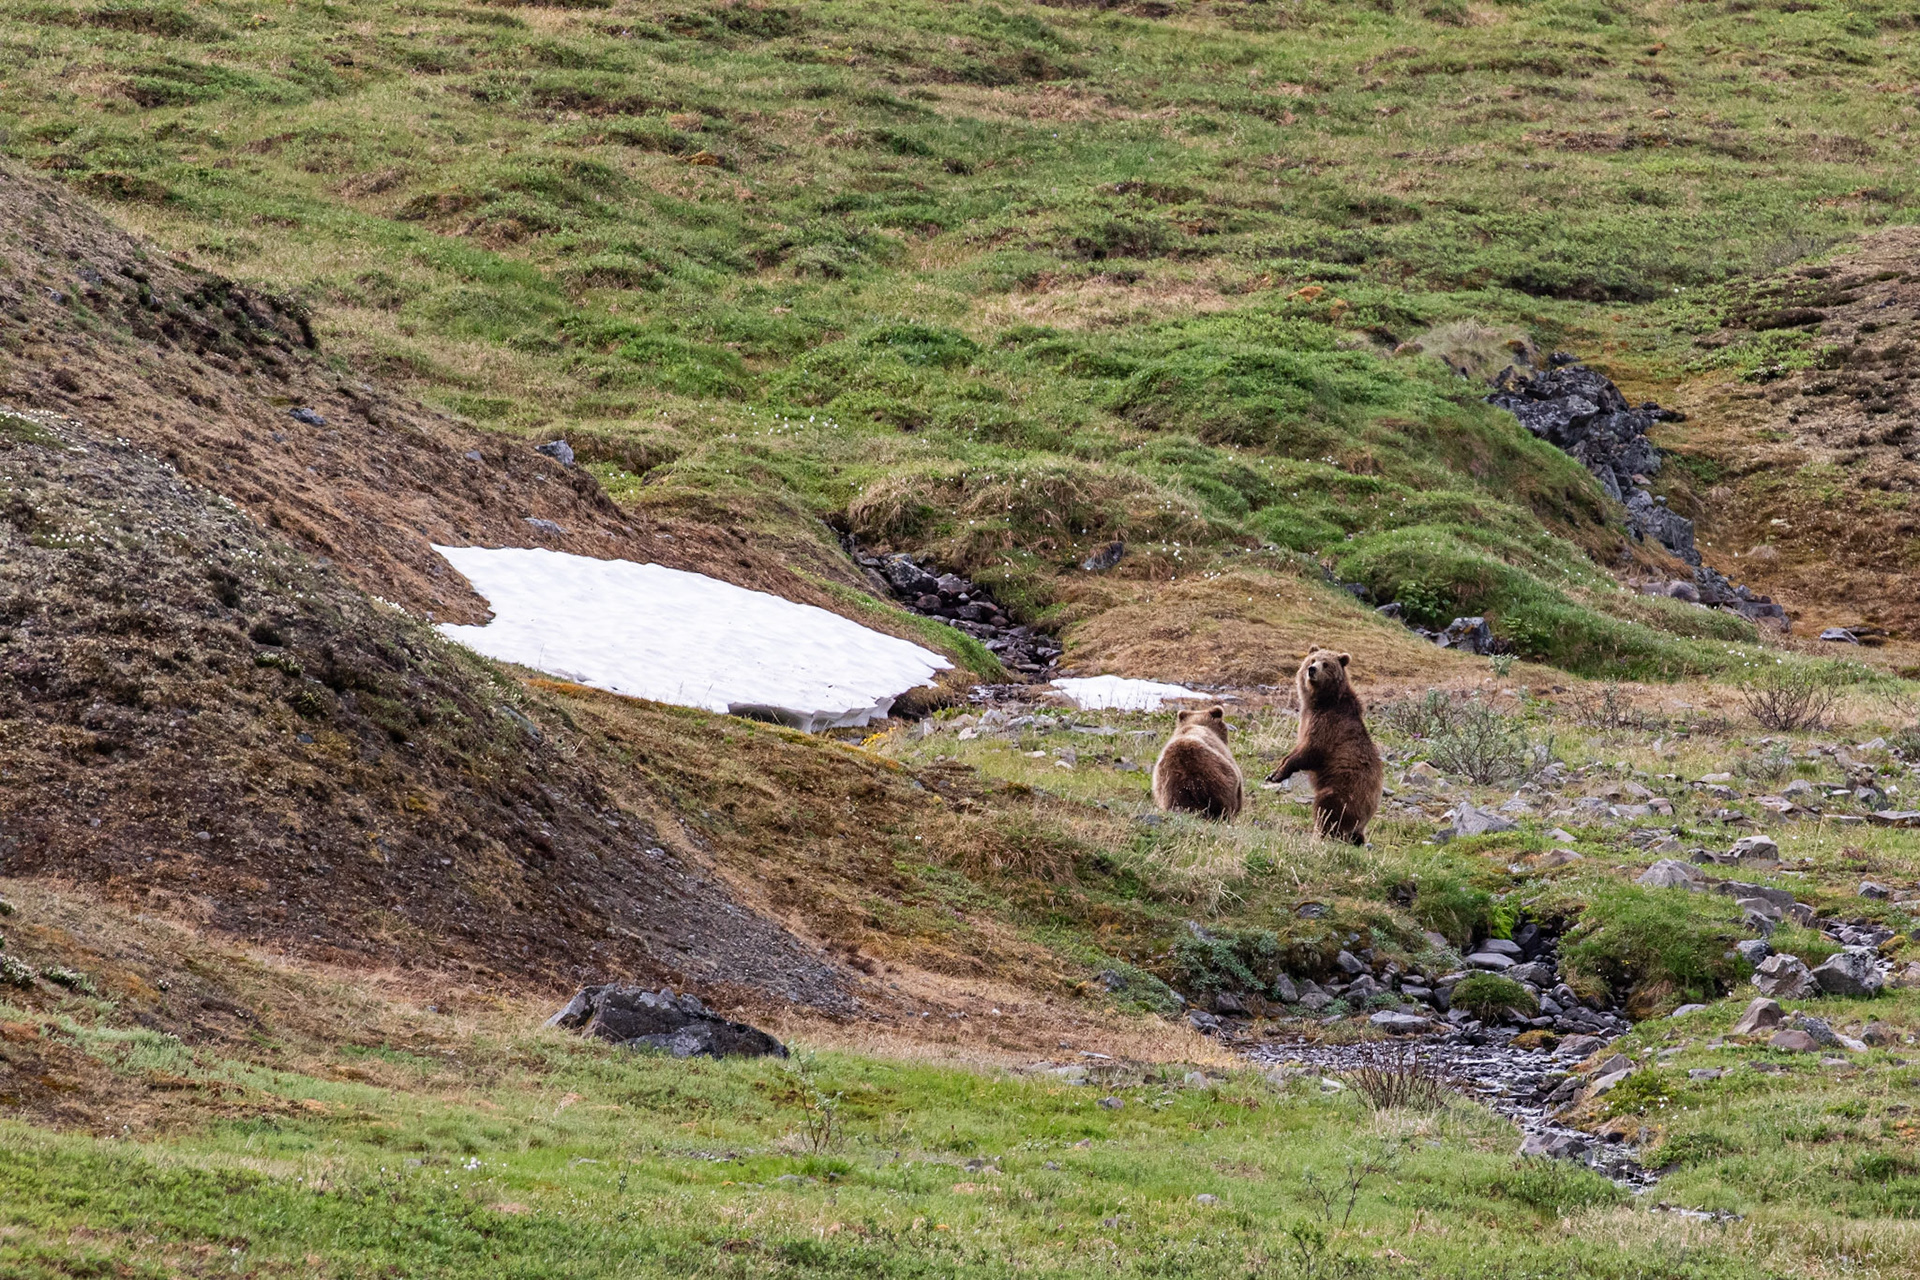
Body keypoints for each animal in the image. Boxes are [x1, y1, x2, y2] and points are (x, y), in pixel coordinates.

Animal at [1267, 648, 1383, 844]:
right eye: (1312, 659)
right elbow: (1296, 750)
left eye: (1326, 664)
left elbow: (1310, 751)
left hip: (1346, 789)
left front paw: (1280, 773)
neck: (1320, 702)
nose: (1312, 670)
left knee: (1328, 808)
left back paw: (1320, 834)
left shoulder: (1328, 725)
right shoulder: (1306, 720)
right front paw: (1273, 773)